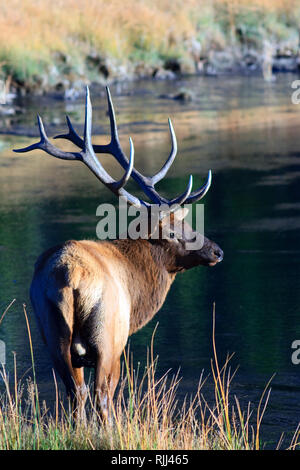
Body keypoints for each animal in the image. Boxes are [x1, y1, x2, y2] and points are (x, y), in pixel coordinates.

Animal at [14, 86, 223, 420]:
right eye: (174, 230)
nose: (217, 251)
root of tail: (70, 275)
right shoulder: (120, 338)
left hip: (51, 332)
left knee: (76, 394)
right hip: (106, 334)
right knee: (101, 394)